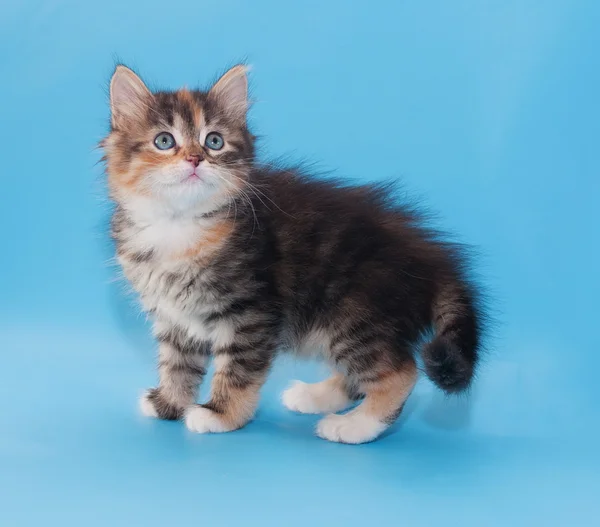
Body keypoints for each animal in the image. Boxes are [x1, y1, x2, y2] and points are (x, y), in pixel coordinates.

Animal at [102, 64, 488, 444]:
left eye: (214, 141)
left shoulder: (250, 313)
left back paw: (353, 426)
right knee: (360, 377)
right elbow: (177, 364)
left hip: (354, 317)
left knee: (400, 373)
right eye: (164, 141)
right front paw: (169, 403)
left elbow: (237, 370)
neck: (179, 224)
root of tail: (431, 257)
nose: (196, 159)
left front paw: (221, 415)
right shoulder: (175, 317)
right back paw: (314, 396)